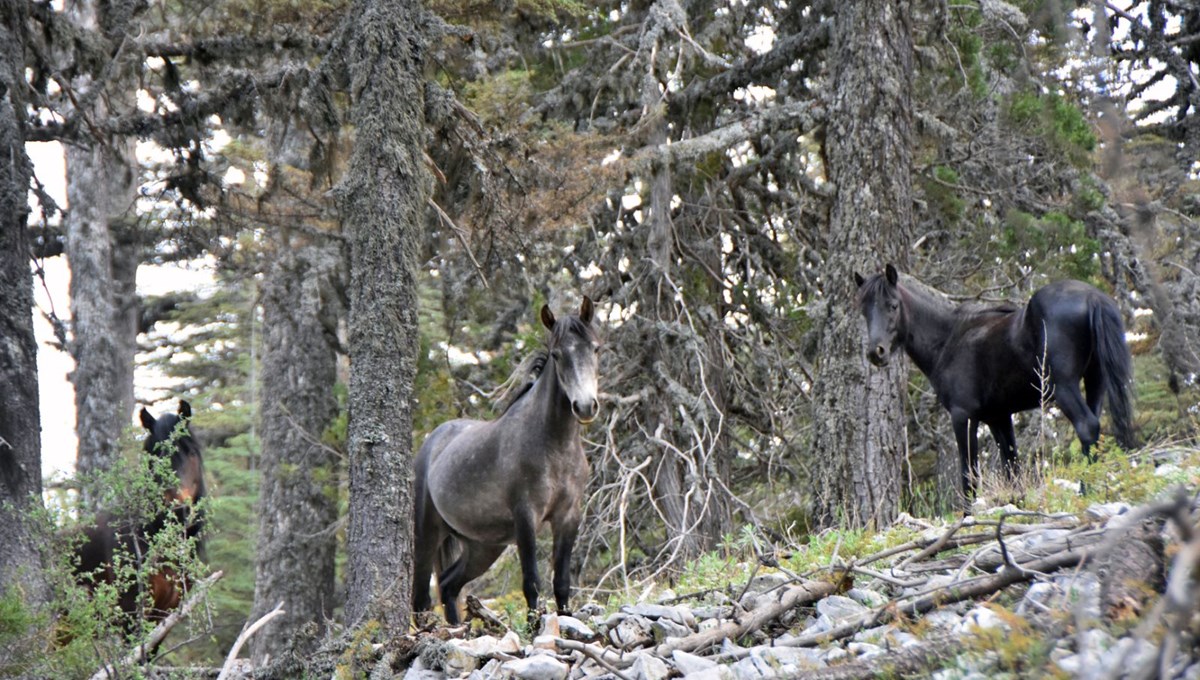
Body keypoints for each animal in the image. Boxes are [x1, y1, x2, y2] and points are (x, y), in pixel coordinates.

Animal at [412, 295, 600, 623]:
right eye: (557, 355)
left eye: (595, 348)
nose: (586, 406)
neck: (555, 447)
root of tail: (432, 441)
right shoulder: (526, 517)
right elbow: (532, 581)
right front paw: (534, 627)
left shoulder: (568, 516)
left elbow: (562, 582)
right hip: (428, 533)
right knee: (421, 597)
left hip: (484, 547)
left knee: (448, 585)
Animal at [854, 267, 1132, 501]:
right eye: (864, 310)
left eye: (893, 306)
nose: (876, 353)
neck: (950, 338)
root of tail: (1092, 296)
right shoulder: (999, 417)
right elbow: (1011, 466)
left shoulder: (963, 417)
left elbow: (969, 473)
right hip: (1095, 382)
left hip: (1064, 387)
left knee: (1087, 427)